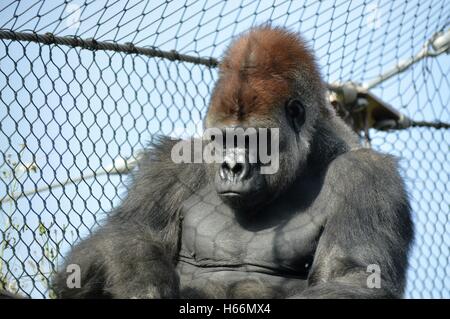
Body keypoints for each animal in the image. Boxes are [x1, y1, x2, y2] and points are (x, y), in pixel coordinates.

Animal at [51, 25, 412, 300]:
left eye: (252, 140)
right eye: (222, 140)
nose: (232, 168)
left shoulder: (367, 176)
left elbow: (357, 276)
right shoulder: (169, 167)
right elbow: (111, 241)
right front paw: (142, 280)